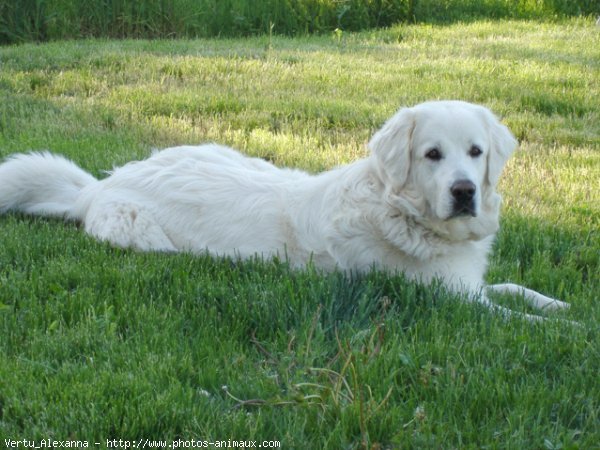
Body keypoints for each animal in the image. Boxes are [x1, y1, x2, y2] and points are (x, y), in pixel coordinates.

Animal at [0, 102, 568, 320]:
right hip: (144, 238)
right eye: (432, 155)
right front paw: (566, 330)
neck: (398, 208)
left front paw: (559, 305)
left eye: (475, 152)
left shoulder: (467, 284)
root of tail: (100, 185)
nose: (465, 191)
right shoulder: (446, 299)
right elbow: (514, 319)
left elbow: (517, 290)